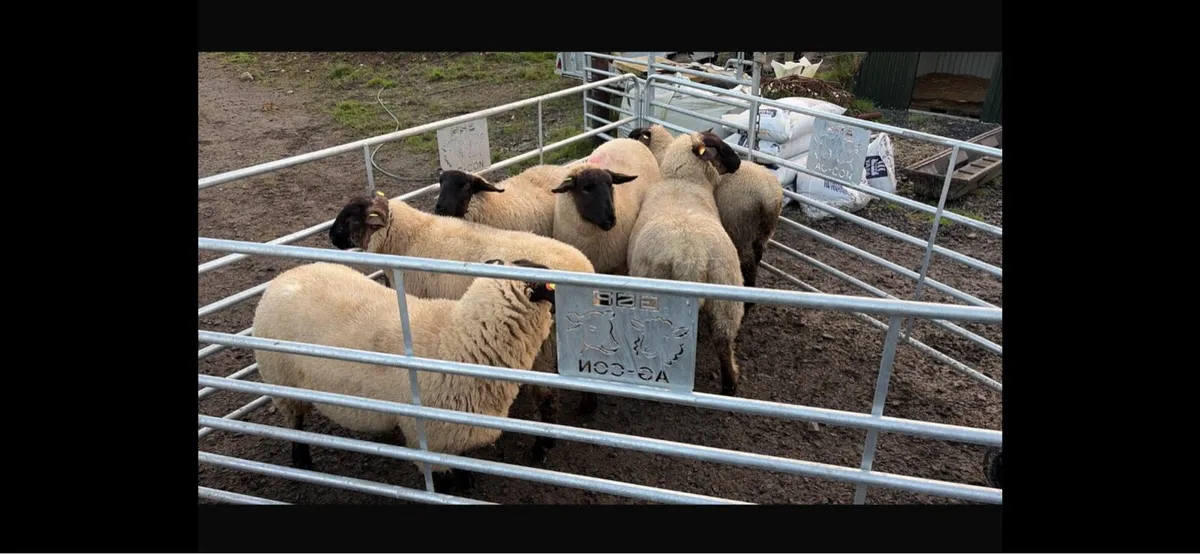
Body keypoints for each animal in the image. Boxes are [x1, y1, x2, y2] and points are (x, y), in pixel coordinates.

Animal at [252, 259, 557, 494]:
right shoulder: (430, 437)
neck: (457, 340)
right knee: (295, 424)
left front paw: (466, 479)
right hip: (281, 380)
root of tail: (283, 277)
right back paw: (302, 461)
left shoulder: (455, 429)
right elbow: (441, 481)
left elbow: (461, 460)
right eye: (549, 283)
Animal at [329, 192, 601, 421]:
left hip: (544, 349)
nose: (330, 236)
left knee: (547, 400)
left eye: (351, 217)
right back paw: (588, 407)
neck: (410, 237)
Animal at [626, 130, 746, 396]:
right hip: (727, 295)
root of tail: (692, 256)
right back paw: (730, 383)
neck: (681, 182)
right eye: (719, 147)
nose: (738, 163)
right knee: (723, 341)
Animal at [633, 125, 783, 313]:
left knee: (748, 262)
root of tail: (770, 196)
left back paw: (747, 302)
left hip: (741, 230)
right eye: (717, 147)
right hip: (763, 233)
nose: (737, 163)